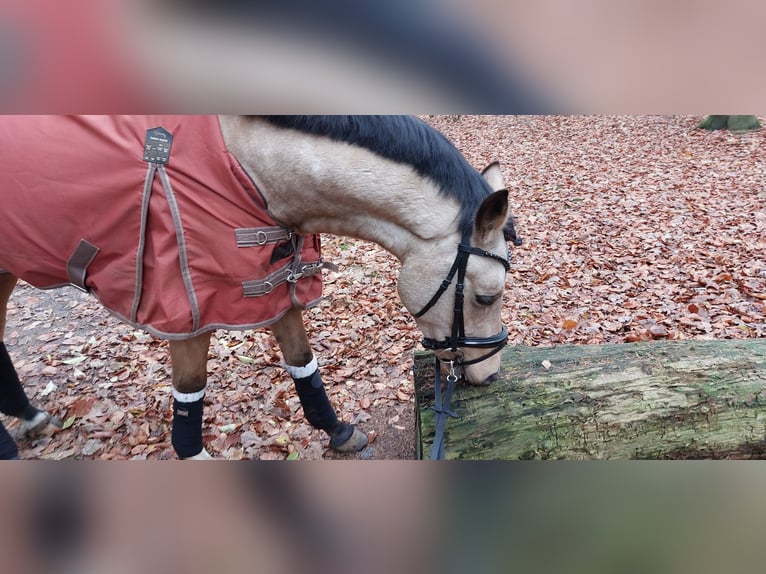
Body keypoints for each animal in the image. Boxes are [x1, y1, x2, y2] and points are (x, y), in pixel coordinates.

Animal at [0, 115, 520, 462]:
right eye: (486, 296)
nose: (491, 375)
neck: (246, 168)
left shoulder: (274, 285)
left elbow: (302, 362)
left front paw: (337, 431)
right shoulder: (190, 313)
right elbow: (190, 393)